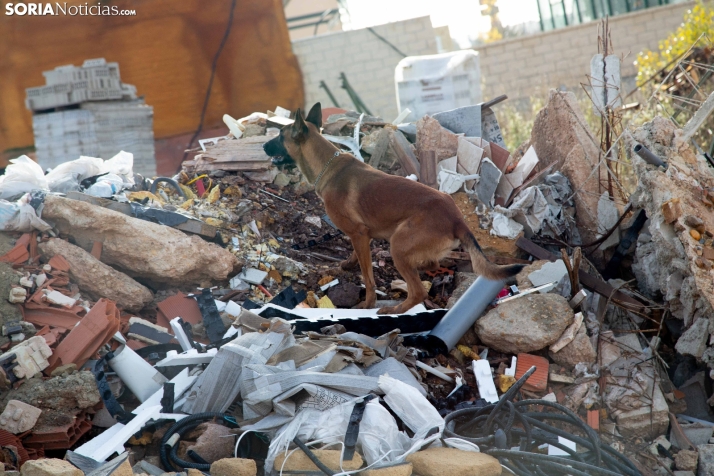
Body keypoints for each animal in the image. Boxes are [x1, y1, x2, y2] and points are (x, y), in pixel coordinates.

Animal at [262, 102, 524, 314]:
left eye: (280, 136)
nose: (263, 146)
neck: (328, 166)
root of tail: (457, 220)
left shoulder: (358, 234)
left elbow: (368, 278)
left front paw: (367, 304)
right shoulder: (361, 236)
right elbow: (357, 255)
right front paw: (348, 263)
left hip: (398, 246)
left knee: (418, 291)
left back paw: (394, 309)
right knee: (432, 265)